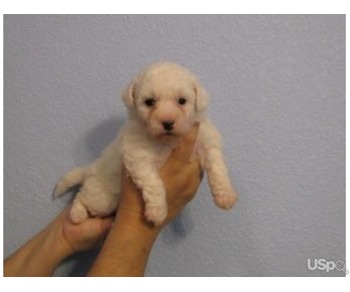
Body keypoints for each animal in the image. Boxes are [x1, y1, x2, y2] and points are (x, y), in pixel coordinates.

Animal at [53, 62, 237, 226]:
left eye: (182, 101)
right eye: (149, 102)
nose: (167, 123)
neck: (168, 141)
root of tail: (91, 168)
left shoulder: (208, 142)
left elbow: (217, 167)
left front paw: (225, 195)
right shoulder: (139, 158)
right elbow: (154, 184)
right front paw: (157, 212)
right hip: (102, 198)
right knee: (81, 197)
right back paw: (76, 214)